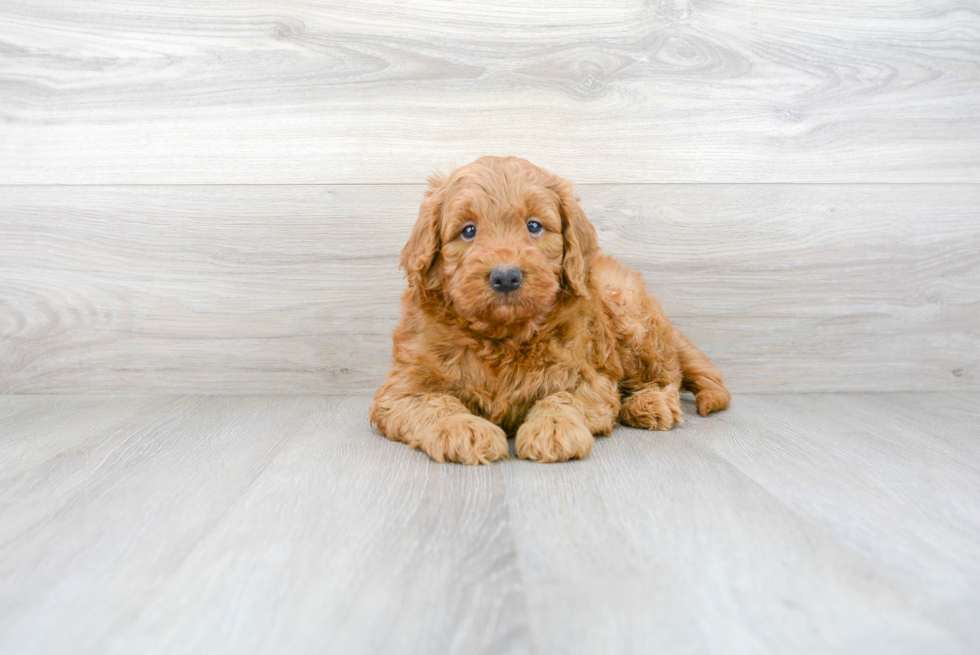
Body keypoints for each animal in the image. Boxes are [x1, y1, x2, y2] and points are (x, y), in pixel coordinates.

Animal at [372, 156, 732, 464]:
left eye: (534, 226)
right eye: (468, 230)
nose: (506, 276)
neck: (503, 338)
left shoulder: (591, 381)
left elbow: (562, 397)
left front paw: (554, 428)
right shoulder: (402, 390)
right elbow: (435, 402)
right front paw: (466, 429)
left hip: (632, 316)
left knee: (665, 373)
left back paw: (650, 402)